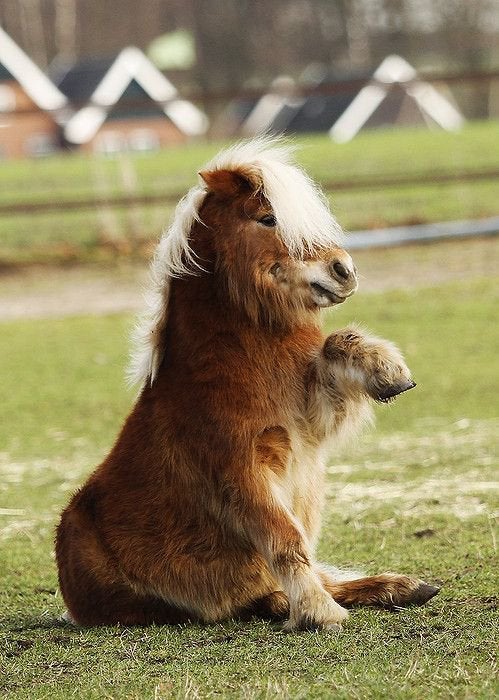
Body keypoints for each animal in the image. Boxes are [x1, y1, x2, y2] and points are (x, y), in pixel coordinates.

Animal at [55, 138, 439, 630]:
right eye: (267, 219)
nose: (345, 271)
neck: (231, 361)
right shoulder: (241, 469)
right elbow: (285, 538)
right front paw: (318, 613)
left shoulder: (308, 423)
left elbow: (335, 345)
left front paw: (387, 371)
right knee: (259, 596)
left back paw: (403, 586)